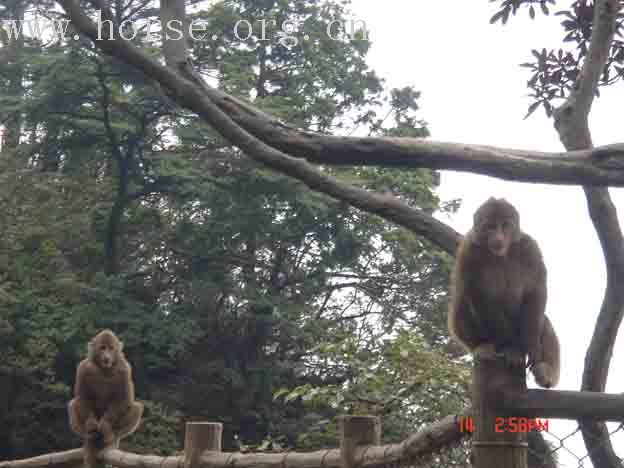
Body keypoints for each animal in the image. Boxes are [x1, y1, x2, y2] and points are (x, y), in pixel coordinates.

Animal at [68, 330, 144, 464]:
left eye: (111, 348)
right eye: (102, 348)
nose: (107, 357)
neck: (104, 369)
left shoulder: (124, 369)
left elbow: (124, 399)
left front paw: (105, 425)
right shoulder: (83, 368)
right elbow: (82, 397)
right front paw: (91, 424)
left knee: (136, 407)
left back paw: (109, 437)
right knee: (73, 404)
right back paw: (90, 436)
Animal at [448, 197, 560, 388]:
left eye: (505, 225)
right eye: (490, 227)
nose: (498, 238)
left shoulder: (530, 248)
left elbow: (535, 291)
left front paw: (530, 348)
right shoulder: (468, 252)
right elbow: (479, 295)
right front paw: (509, 348)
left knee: (542, 320)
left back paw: (545, 371)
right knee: (461, 304)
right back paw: (484, 346)